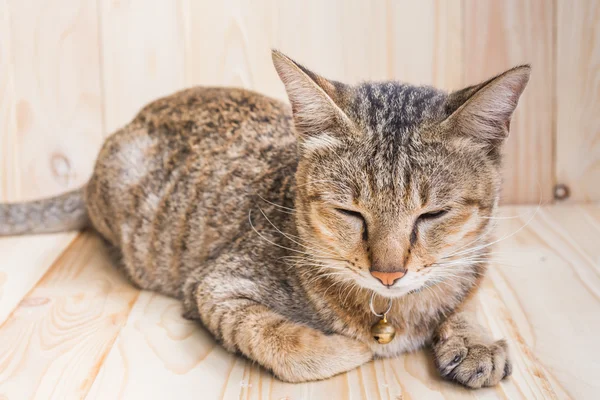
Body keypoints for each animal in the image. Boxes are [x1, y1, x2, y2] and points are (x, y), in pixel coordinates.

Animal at [0, 49, 528, 388]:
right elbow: (282, 342)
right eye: (350, 212)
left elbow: (466, 293)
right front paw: (353, 347)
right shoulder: (215, 287)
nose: (388, 273)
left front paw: (474, 338)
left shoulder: (475, 258)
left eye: (433, 214)